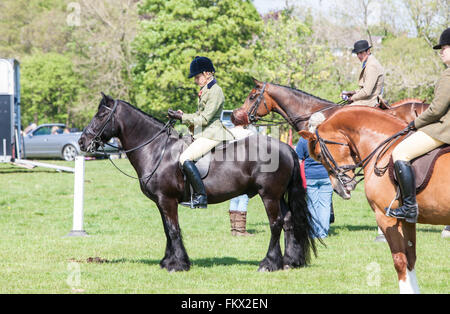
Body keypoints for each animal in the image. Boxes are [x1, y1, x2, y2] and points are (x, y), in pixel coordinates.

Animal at [77, 92, 316, 272]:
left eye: (101, 115)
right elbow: (167, 229)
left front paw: (178, 264)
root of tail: (286, 148)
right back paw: (290, 261)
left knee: (276, 224)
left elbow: (173, 229)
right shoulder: (161, 202)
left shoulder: (167, 200)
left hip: (269, 195)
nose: (82, 142)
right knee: (288, 221)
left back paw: (269, 263)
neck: (157, 150)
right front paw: (168, 261)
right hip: (278, 195)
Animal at [298, 106, 450, 294]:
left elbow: (400, 261)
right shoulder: (407, 221)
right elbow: (410, 258)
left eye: (319, 155)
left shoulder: (386, 218)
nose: (339, 189)